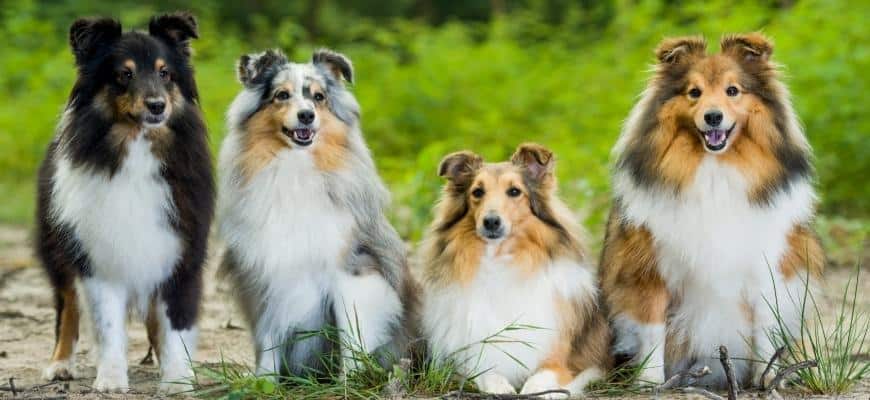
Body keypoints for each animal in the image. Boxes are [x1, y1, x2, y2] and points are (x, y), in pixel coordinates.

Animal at [36, 13, 216, 394]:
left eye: (165, 73)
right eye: (124, 74)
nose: (157, 105)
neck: (138, 148)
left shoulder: (181, 252)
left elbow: (175, 323)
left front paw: (178, 379)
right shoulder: (99, 257)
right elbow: (107, 324)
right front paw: (111, 378)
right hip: (58, 249)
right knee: (67, 306)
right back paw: (60, 364)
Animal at [218, 48, 416, 376]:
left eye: (319, 97)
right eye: (282, 95)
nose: (306, 115)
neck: (295, 168)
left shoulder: (352, 269)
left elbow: (352, 336)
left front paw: (349, 381)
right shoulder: (267, 271)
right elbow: (270, 336)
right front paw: (265, 380)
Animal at [418, 144, 608, 396]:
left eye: (515, 191)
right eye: (477, 192)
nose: (491, 221)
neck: (501, 262)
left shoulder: (564, 356)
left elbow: (545, 374)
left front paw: (536, 390)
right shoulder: (470, 353)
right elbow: (486, 370)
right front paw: (500, 386)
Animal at [604, 32, 828, 390]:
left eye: (732, 90)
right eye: (694, 92)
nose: (713, 117)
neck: (715, 168)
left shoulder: (768, 267)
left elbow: (766, 326)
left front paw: (767, 378)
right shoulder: (648, 269)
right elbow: (652, 330)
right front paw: (649, 382)